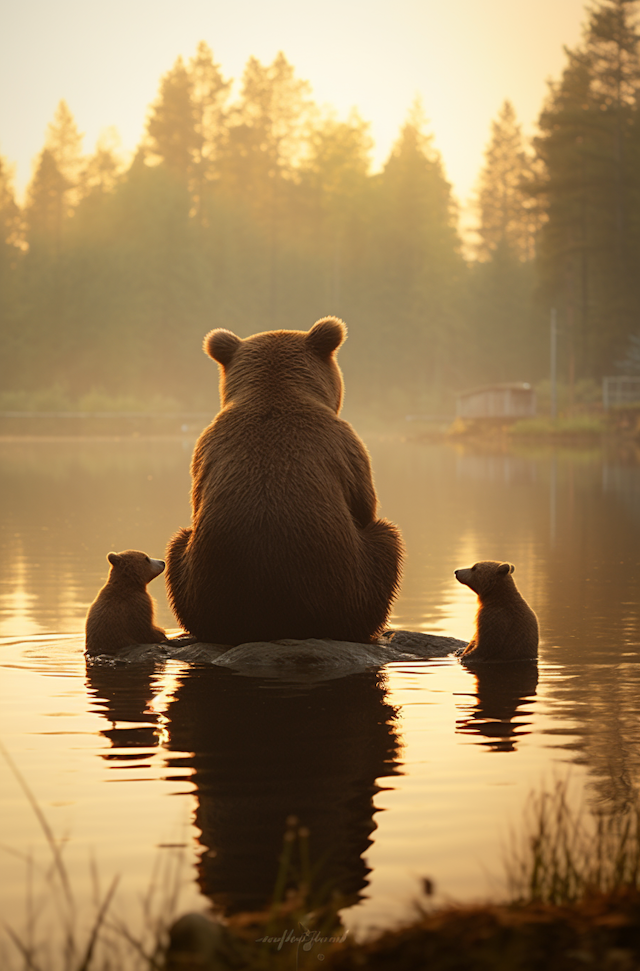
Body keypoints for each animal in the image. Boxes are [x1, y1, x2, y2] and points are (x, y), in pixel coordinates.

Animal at [166, 318, 404, 648]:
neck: (274, 391)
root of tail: (279, 619)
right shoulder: (347, 444)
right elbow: (364, 504)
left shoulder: (204, 448)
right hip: (352, 588)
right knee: (387, 536)